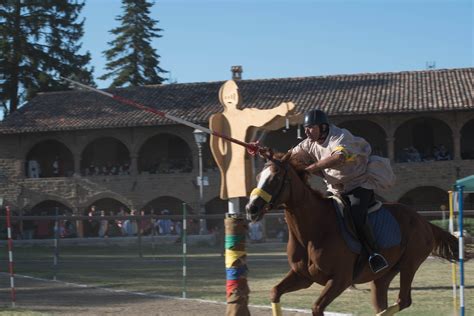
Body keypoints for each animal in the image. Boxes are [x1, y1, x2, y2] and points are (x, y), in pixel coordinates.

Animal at [246, 151, 468, 316]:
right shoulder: (302, 277)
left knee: (403, 300)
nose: (251, 208)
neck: (315, 230)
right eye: (257, 177)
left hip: (409, 265)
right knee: (383, 301)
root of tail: (424, 222)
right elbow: (275, 292)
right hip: (382, 276)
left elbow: (316, 307)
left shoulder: (340, 281)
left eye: (275, 178)